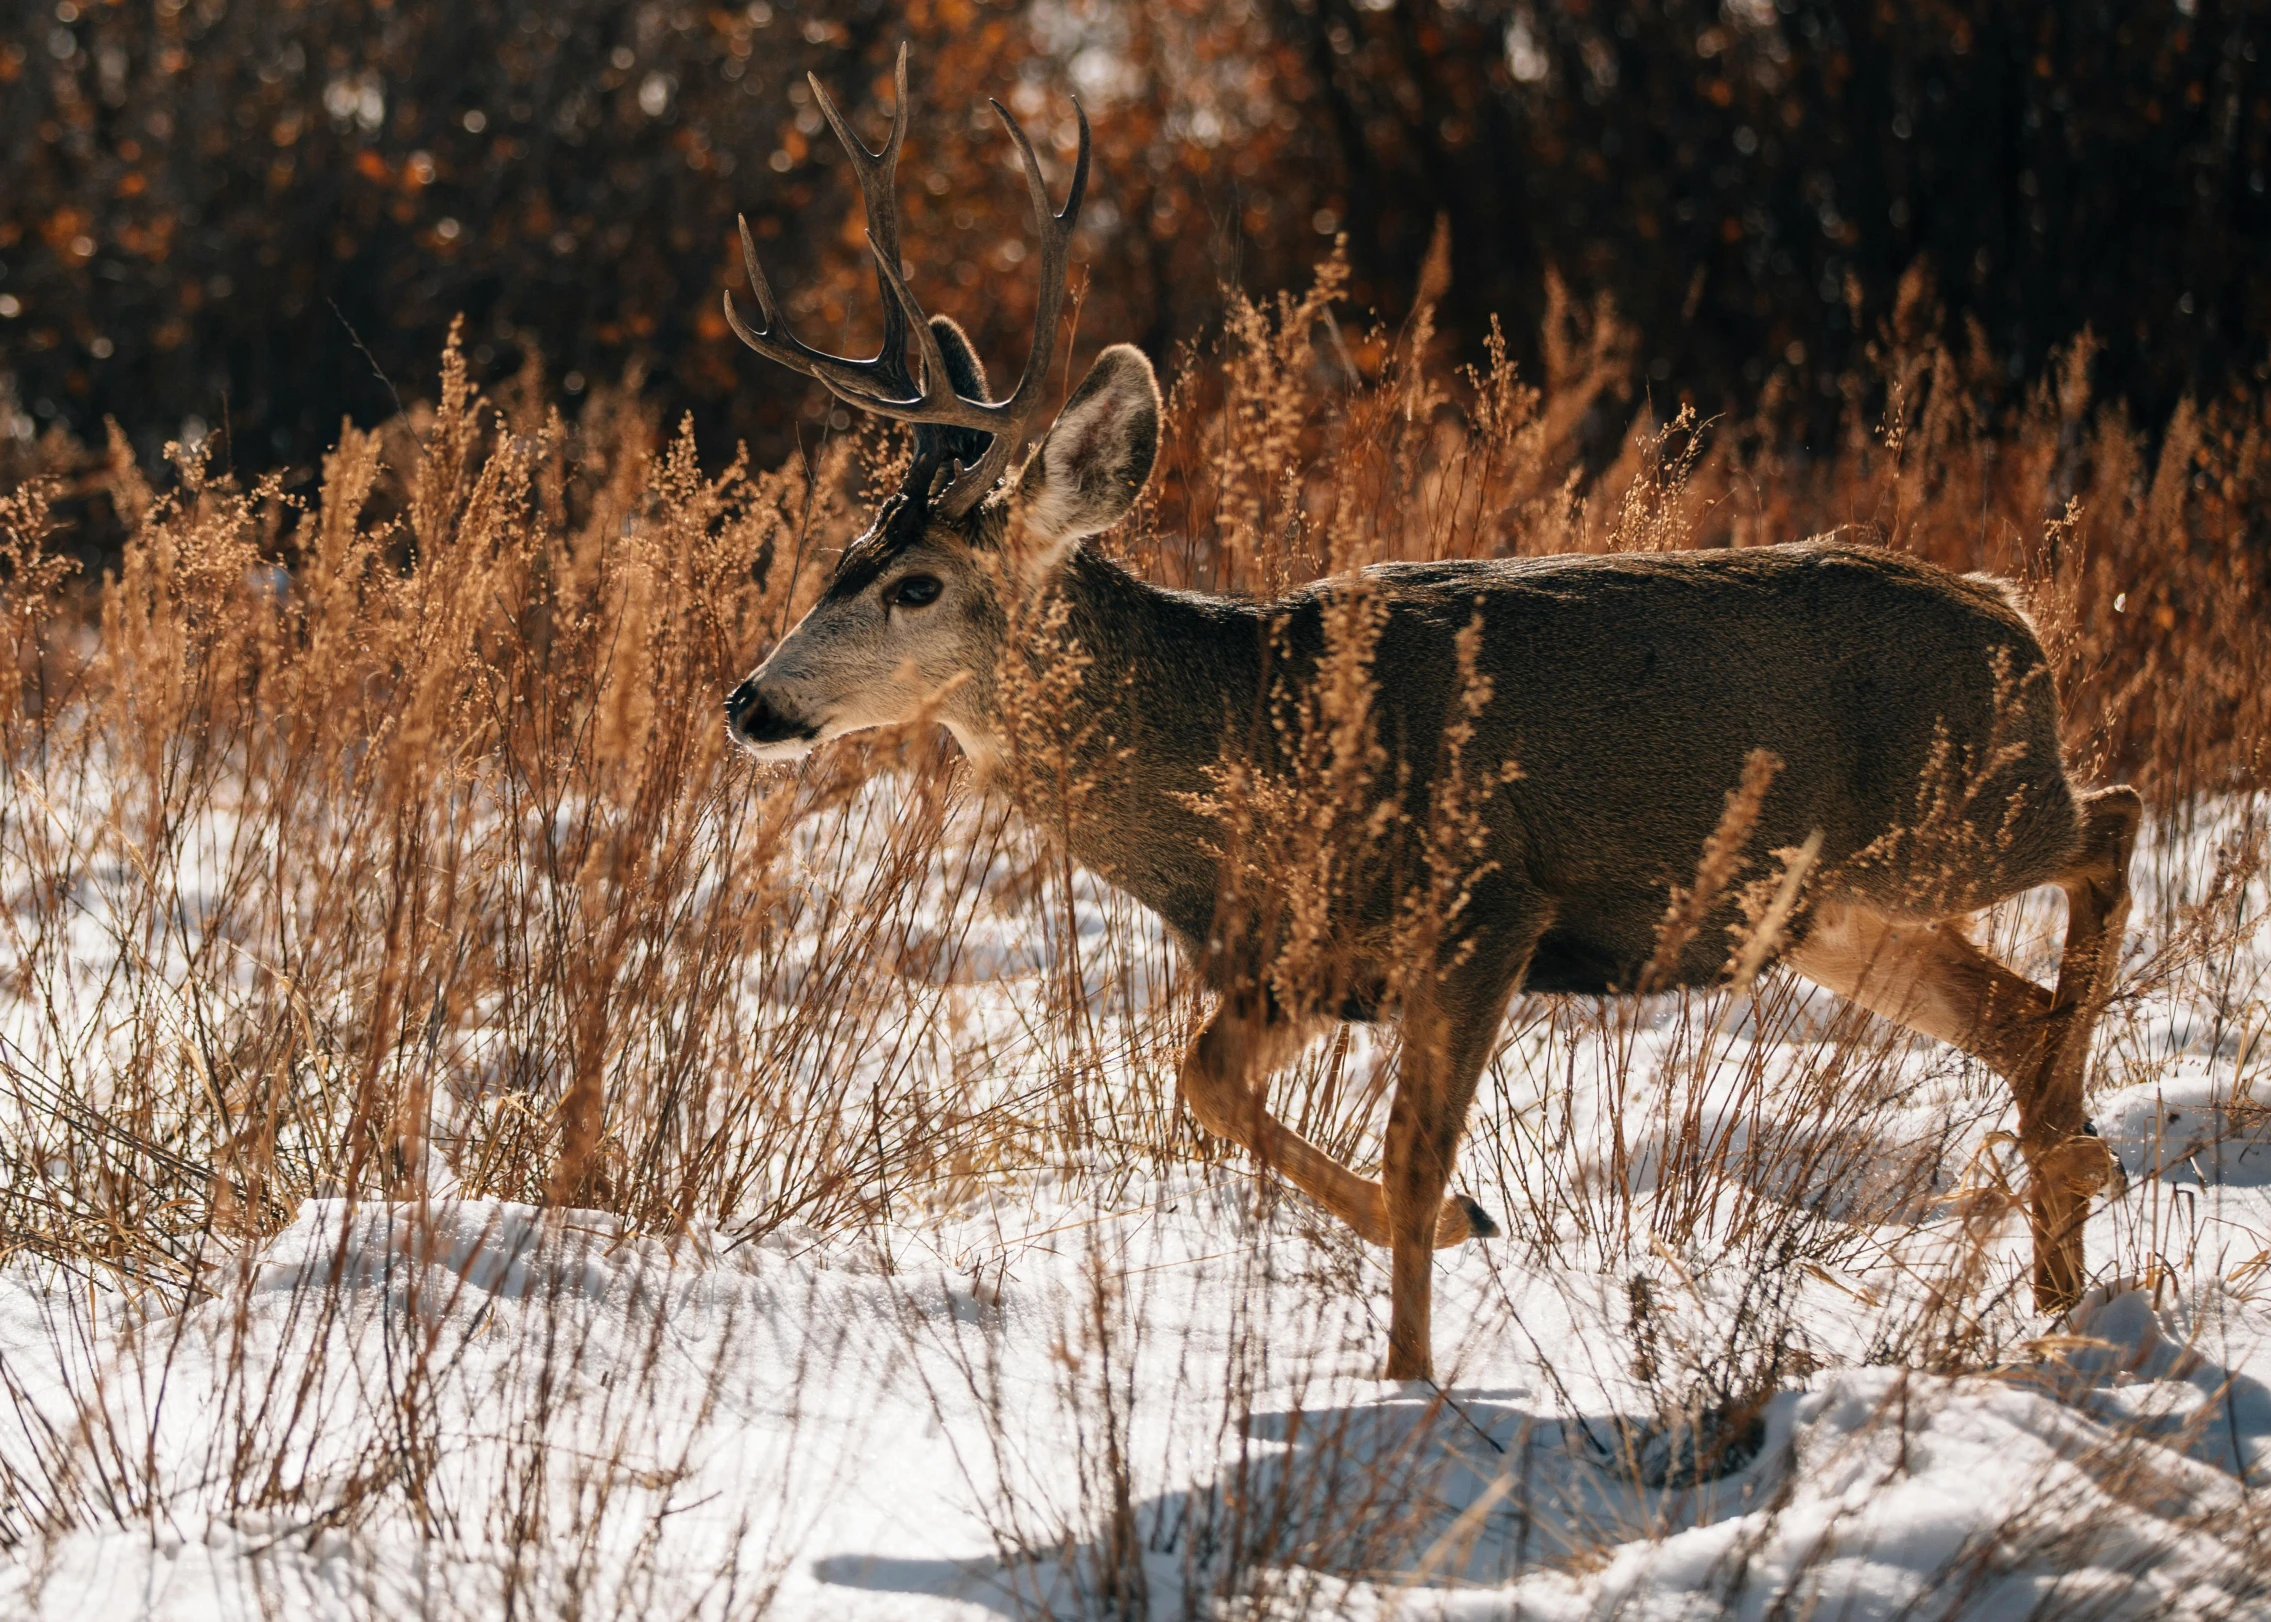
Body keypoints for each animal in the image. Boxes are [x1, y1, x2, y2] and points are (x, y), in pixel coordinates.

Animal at [717, 47, 2134, 1381]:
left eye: (916, 583)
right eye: (843, 554)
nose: (750, 701)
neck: (1256, 737)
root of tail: (2012, 612)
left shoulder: (1484, 905)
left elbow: (1406, 1155)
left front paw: (1413, 1371)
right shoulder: (1303, 959)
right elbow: (1205, 1083)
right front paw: (1463, 1234)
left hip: (1956, 817)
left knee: (2111, 821)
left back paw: (2080, 1161)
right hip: (1822, 908)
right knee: (2015, 1014)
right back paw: (2062, 1262)